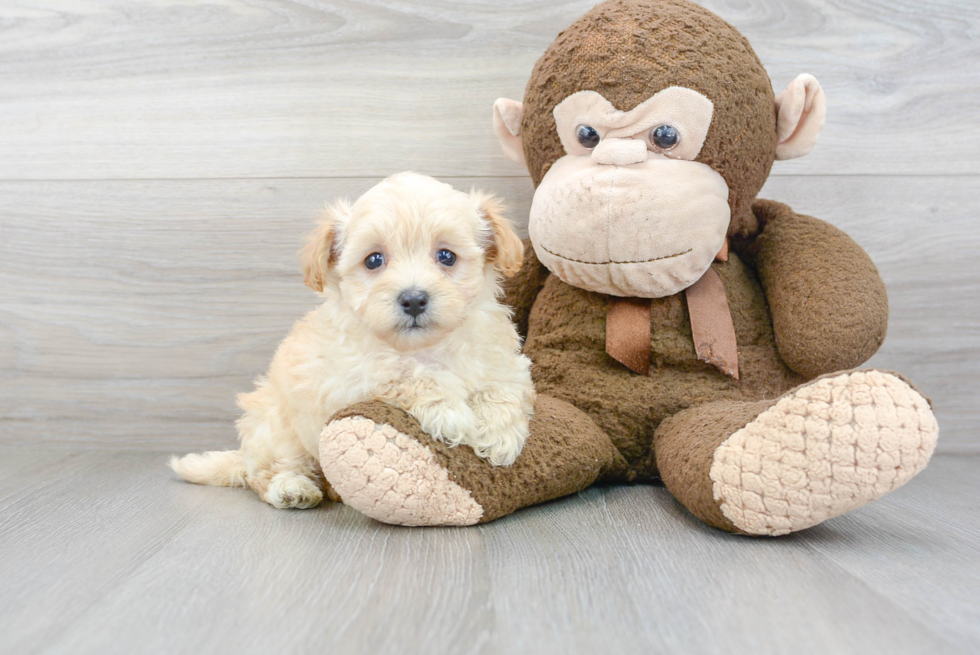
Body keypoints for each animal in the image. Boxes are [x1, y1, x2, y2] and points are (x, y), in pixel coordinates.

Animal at [170, 172, 536, 510]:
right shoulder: (350, 380)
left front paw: (499, 434)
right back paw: (292, 488)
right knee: (265, 474)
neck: (425, 348)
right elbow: (409, 378)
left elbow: (503, 388)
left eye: (446, 256)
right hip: (277, 429)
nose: (413, 299)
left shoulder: (507, 363)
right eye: (373, 259)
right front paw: (450, 412)